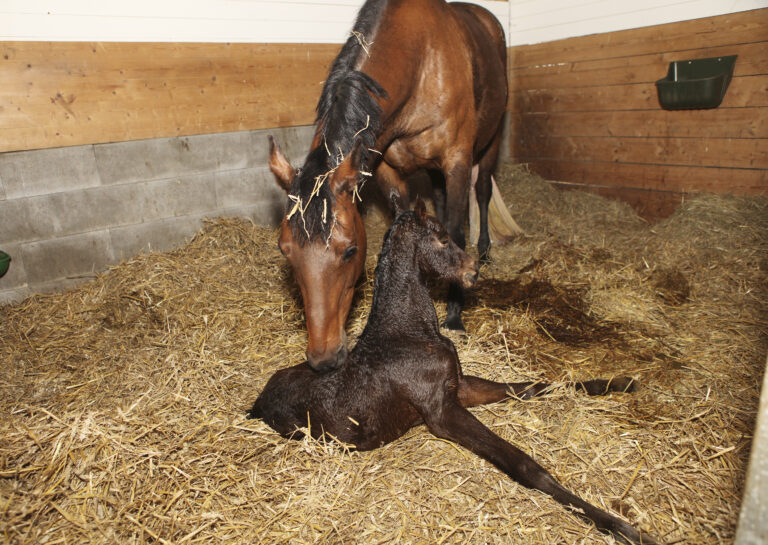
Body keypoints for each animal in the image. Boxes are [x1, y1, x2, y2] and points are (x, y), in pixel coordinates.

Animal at [249, 201, 659, 545]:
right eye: (443, 238)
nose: (473, 270)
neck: (407, 333)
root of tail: (259, 401)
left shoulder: (459, 387)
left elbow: (530, 387)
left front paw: (619, 382)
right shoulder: (441, 413)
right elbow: (525, 465)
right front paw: (623, 527)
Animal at [269, 0, 511, 371]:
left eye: (350, 251)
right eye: (286, 251)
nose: (324, 358)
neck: (422, 62)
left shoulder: (457, 160)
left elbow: (456, 230)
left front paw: (454, 315)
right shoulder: (384, 166)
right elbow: (403, 224)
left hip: (491, 140)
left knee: (482, 191)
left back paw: (483, 250)